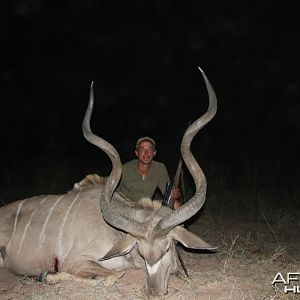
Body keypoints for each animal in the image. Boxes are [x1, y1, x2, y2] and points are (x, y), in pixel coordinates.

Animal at [0, 67, 217, 296]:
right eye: (141, 252)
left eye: (167, 248)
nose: (155, 292)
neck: (114, 232)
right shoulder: (76, 261)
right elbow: (111, 276)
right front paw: (47, 276)